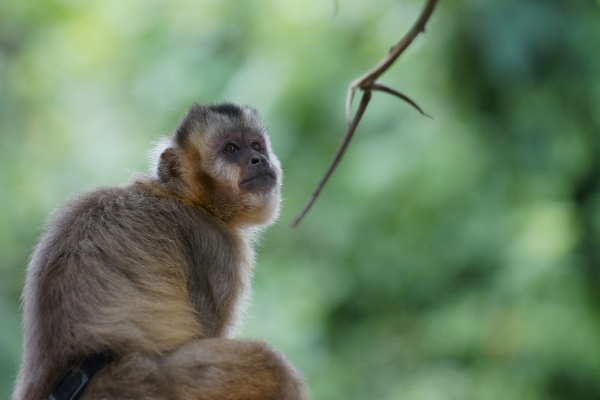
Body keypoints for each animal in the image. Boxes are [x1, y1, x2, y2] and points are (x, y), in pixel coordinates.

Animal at [14, 104, 310, 400]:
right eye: (231, 149)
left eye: (256, 145)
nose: (258, 159)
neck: (188, 199)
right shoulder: (215, 246)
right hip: (133, 385)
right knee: (269, 365)